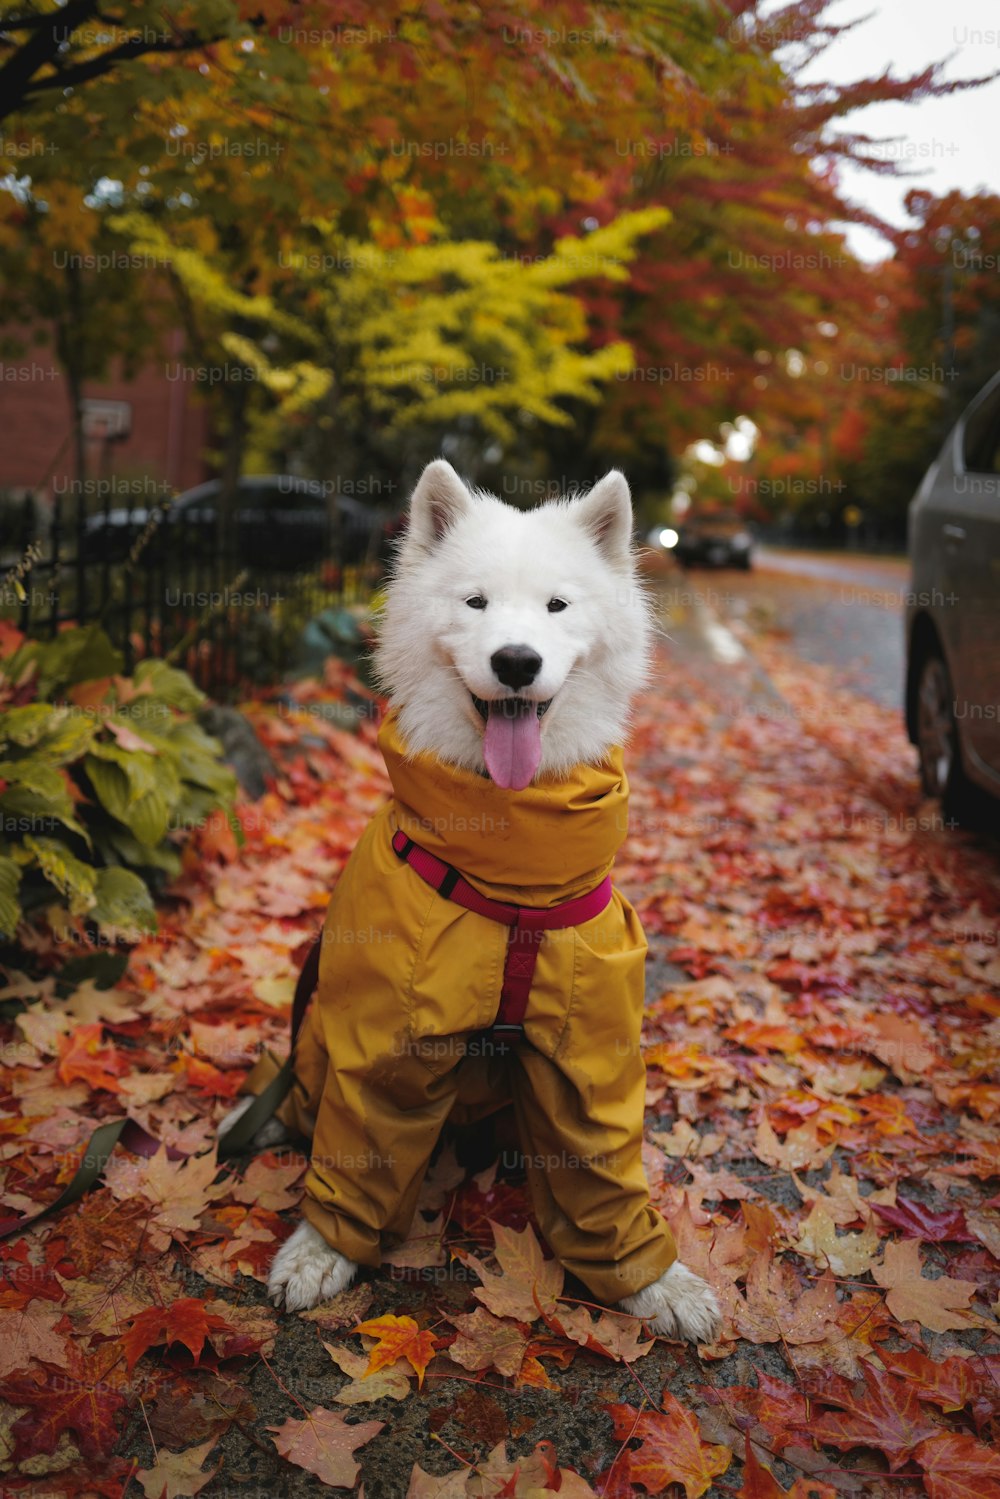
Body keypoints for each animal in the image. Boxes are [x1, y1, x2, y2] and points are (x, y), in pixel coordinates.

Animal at [220, 458, 719, 1349]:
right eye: (476, 602)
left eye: (557, 606)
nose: (517, 661)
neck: (510, 864)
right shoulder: (384, 1040)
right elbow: (357, 1140)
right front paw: (321, 1250)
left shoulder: (586, 1052)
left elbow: (601, 1171)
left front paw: (653, 1281)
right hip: (318, 1032)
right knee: (305, 1090)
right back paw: (267, 1115)